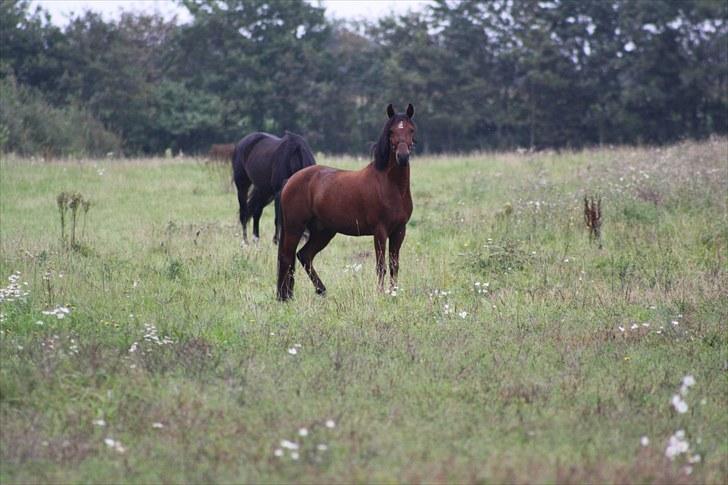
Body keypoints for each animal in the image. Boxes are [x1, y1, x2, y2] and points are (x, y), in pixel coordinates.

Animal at [278, 103, 416, 298]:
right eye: (391, 131)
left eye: (411, 130)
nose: (402, 157)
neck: (391, 186)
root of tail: (290, 180)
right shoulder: (380, 231)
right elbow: (380, 266)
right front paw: (380, 294)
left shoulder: (399, 231)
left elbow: (394, 266)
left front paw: (393, 293)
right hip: (294, 227)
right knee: (286, 257)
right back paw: (285, 297)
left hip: (324, 231)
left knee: (304, 256)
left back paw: (321, 290)